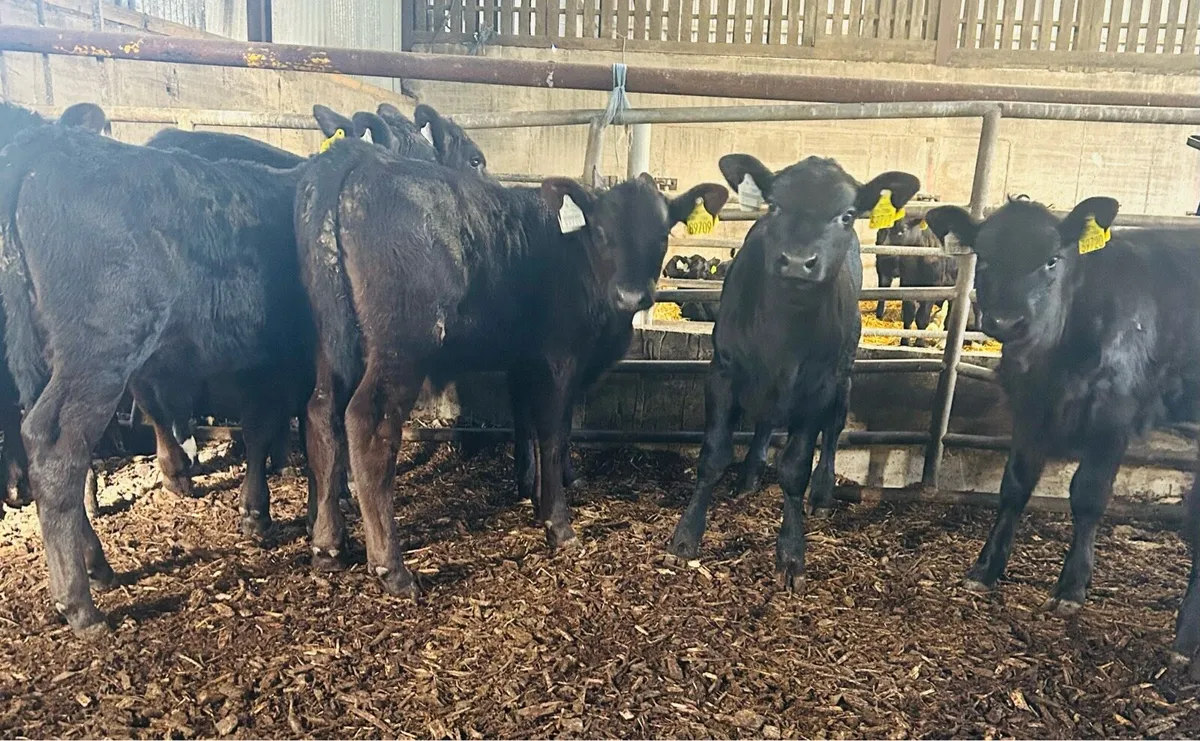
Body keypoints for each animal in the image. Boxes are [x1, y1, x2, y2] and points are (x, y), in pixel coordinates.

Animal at [295, 137, 727, 597]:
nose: (632, 296)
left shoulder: (525, 361)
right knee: (367, 423)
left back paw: (328, 545)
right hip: (400, 348)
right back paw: (390, 567)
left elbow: (526, 424)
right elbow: (554, 435)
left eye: (662, 234)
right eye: (602, 233)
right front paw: (558, 524)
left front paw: (530, 493)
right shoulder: (559, 361)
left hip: (330, 344)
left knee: (321, 415)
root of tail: (358, 157)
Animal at [667, 155, 919, 591]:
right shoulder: (722, 371)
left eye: (847, 214)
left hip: (844, 376)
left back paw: (821, 493)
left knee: (833, 431)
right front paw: (686, 537)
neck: (782, 334)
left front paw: (790, 554)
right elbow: (713, 455)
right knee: (766, 423)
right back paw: (748, 477)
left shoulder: (818, 388)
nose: (799, 261)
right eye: (774, 205)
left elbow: (795, 467)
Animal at [923, 197, 1200, 672]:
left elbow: (1087, 496)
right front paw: (985, 569)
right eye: (986, 257)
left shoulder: (1112, 413)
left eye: (1052, 259)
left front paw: (1070, 588)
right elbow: (1014, 487)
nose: (1006, 321)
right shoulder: (1029, 411)